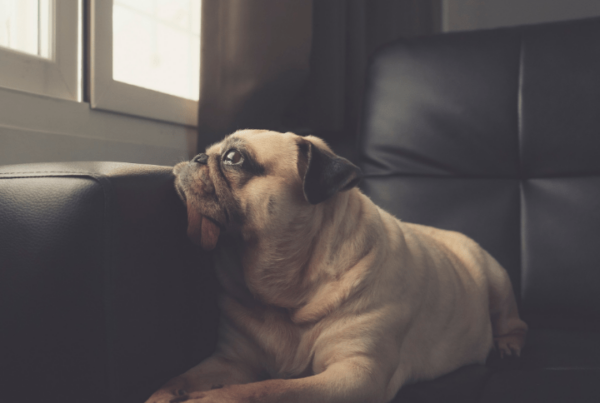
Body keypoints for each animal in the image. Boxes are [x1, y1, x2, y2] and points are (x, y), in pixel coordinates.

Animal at [148, 131, 528, 402]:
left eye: (233, 158)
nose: (198, 157)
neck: (285, 294)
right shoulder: (231, 361)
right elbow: (181, 378)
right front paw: (166, 393)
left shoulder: (356, 372)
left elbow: (265, 390)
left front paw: (207, 399)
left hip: (497, 281)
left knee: (512, 321)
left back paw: (509, 344)